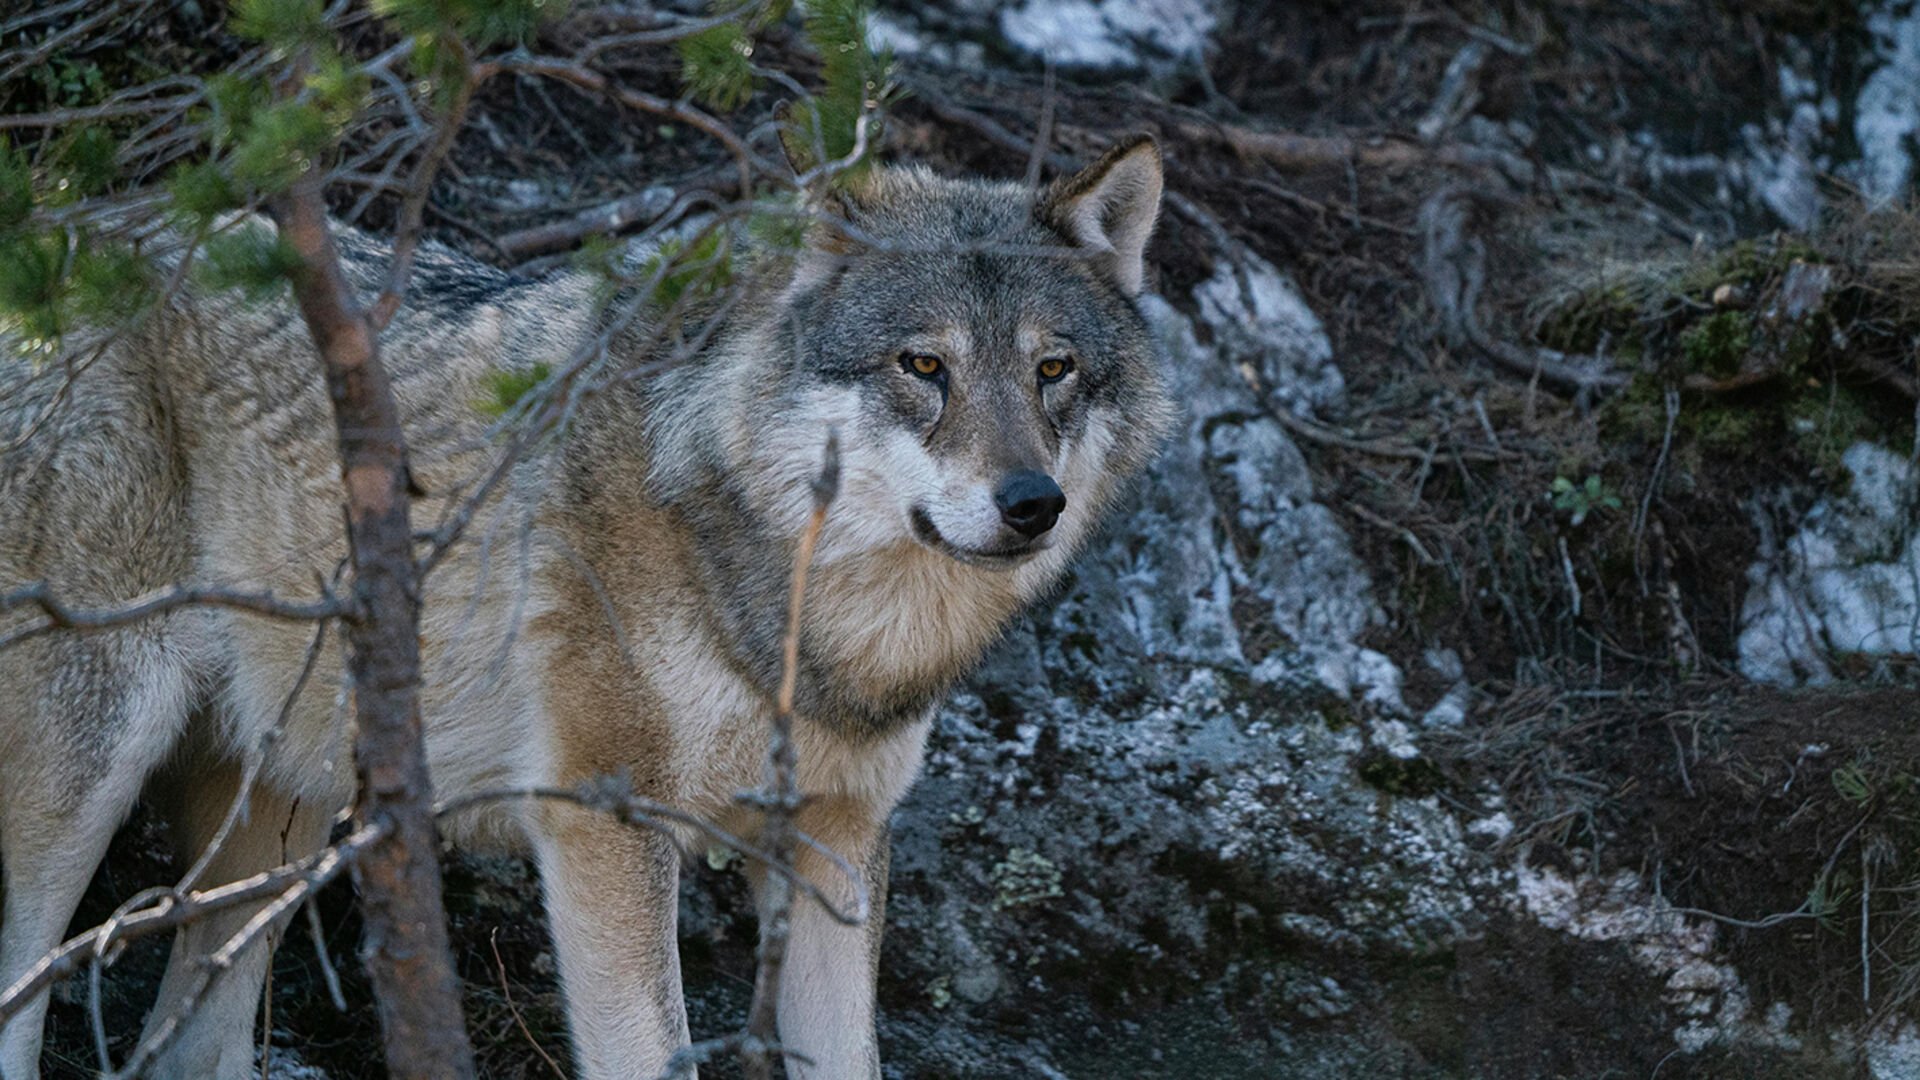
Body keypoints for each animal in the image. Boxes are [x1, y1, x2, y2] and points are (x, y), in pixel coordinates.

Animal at [0, 136, 1167, 1076]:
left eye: (1054, 370)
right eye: (923, 365)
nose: (1034, 504)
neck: (803, 621)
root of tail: (54, 220)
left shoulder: (837, 842)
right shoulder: (606, 825)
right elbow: (652, 1051)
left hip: (282, 812)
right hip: (94, 766)